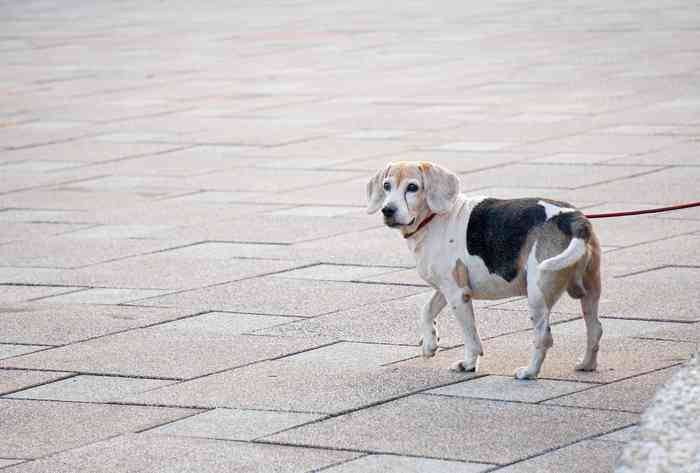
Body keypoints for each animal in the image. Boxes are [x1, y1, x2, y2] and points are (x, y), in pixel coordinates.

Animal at [366, 160, 600, 378]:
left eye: (412, 187)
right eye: (386, 186)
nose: (388, 210)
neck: (433, 220)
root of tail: (572, 219)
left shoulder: (458, 294)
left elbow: (470, 335)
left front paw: (468, 363)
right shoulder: (446, 287)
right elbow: (426, 309)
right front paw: (430, 342)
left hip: (537, 295)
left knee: (544, 337)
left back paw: (529, 372)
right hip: (590, 292)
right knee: (595, 330)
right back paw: (586, 365)